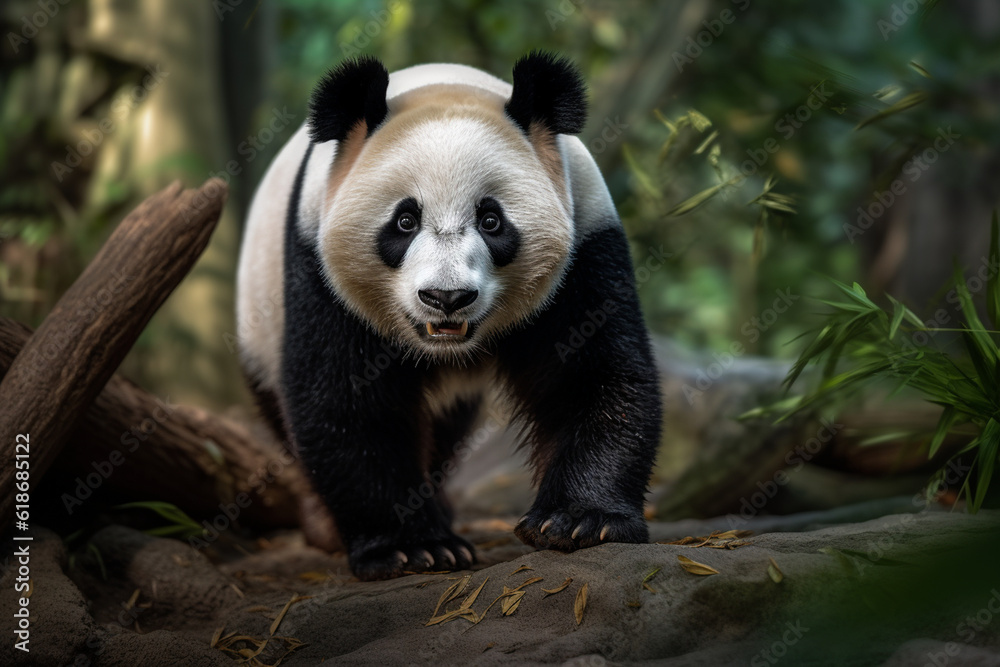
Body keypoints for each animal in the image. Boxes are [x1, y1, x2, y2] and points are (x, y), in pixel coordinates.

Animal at [236, 52, 662, 581]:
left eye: (491, 219)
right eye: (404, 220)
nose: (446, 297)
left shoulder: (586, 238)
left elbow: (592, 375)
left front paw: (581, 521)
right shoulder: (316, 262)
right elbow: (345, 398)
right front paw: (414, 548)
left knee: (445, 427)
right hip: (257, 319)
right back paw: (329, 524)